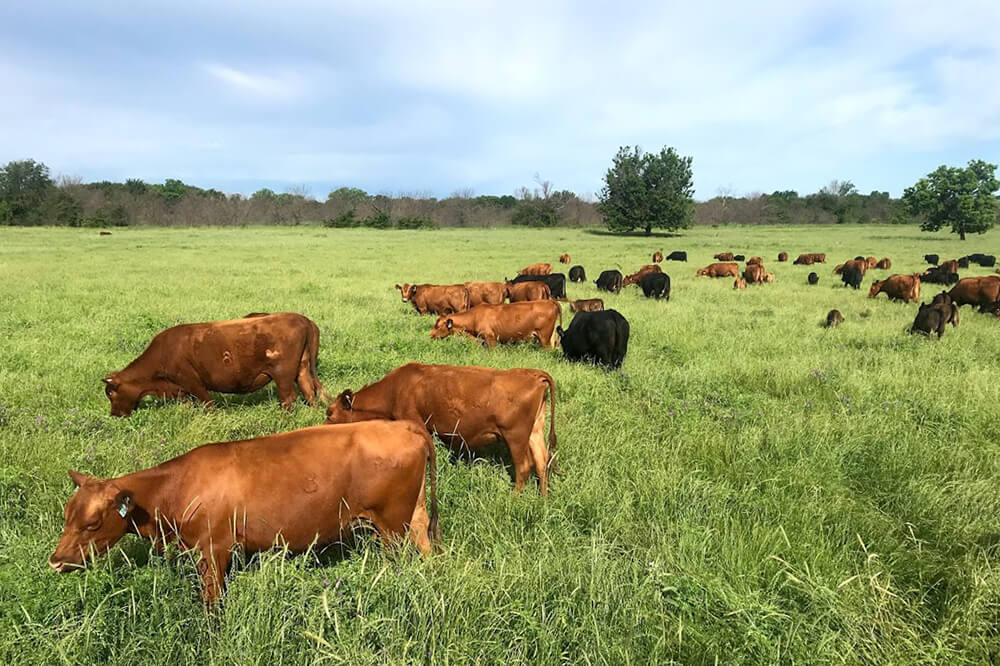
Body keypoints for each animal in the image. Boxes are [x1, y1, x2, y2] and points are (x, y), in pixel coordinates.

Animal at [47, 420, 438, 600]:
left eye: (92, 523)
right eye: (66, 515)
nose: (55, 561)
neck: (178, 486)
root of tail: (401, 424)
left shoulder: (214, 549)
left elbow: (211, 601)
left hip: (391, 527)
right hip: (413, 518)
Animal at [102, 312, 328, 416]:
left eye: (111, 393)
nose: (114, 415)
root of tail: (302, 319)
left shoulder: (193, 382)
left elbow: (208, 404)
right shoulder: (181, 390)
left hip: (283, 375)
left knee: (289, 399)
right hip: (302, 369)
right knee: (309, 393)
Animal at [330, 364, 560, 492]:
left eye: (330, 414)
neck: (396, 388)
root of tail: (533, 375)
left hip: (516, 436)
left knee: (524, 468)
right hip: (534, 433)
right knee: (542, 463)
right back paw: (543, 500)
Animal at [428, 300, 560, 348]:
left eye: (438, 326)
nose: (430, 335)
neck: (474, 317)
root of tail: (549, 301)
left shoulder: (491, 339)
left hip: (544, 338)